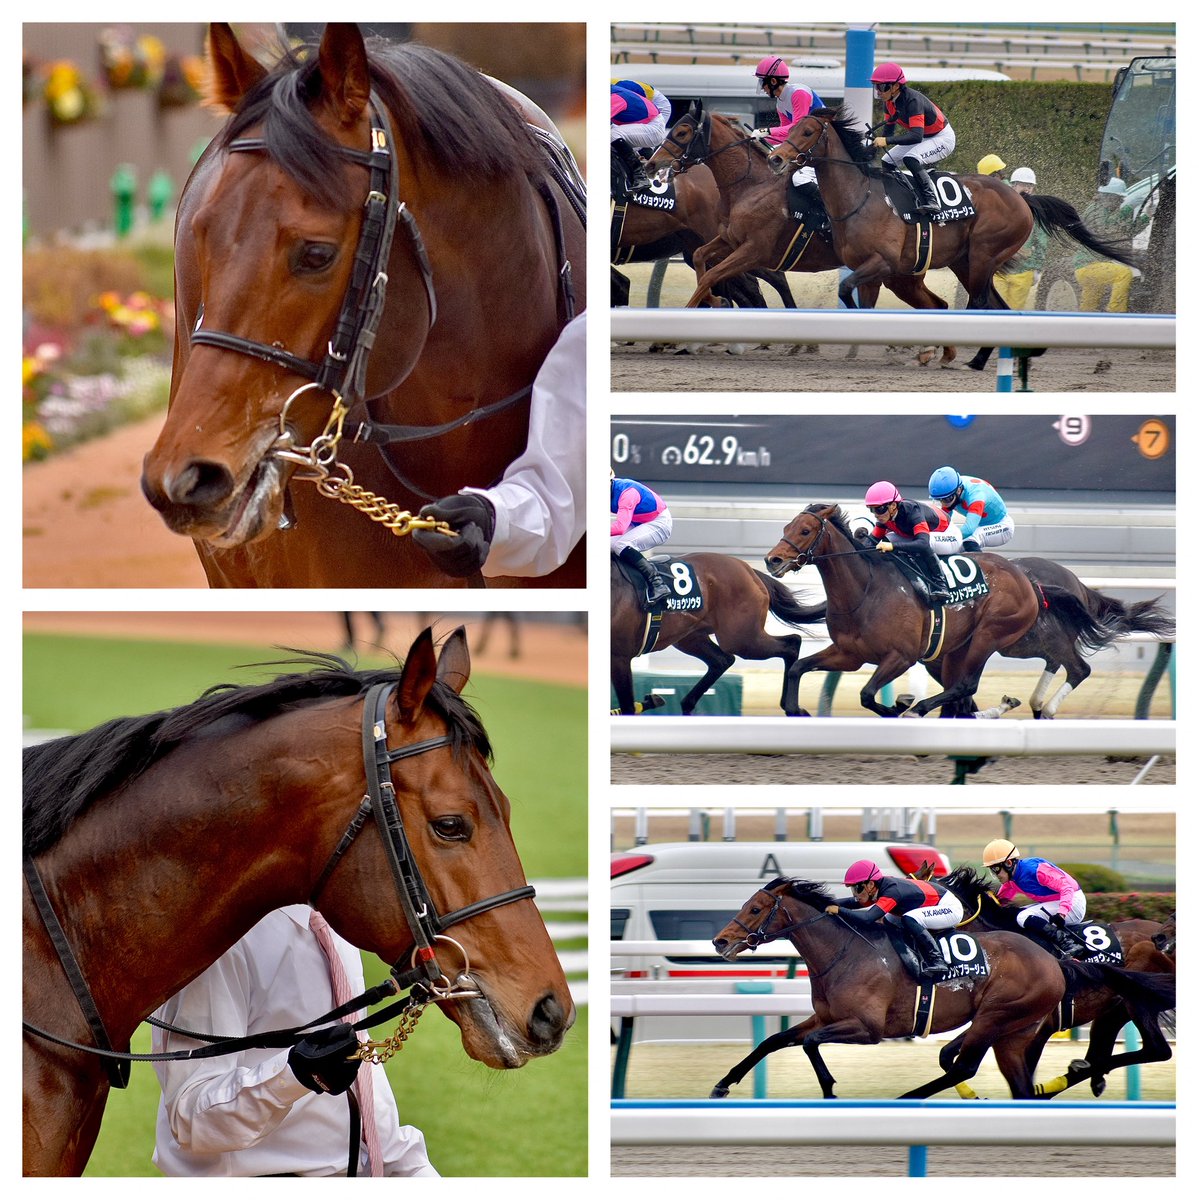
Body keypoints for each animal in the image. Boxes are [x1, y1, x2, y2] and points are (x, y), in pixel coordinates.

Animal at [611, 553, 826, 716]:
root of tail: (749, 570)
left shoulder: (619, 657)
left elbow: (628, 706)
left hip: (742, 639)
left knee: (791, 644)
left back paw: (792, 708)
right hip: (691, 637)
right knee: (722, 660)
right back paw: (686, 705)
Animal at [647, 108, 956, 365]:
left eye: (682, 132)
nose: (651, 164)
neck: (751, 187)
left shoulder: (753, 250)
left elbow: (711, 276)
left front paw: (675, 330)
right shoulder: (729, 240)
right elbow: (702, 261)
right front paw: (714, 303)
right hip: (900, 276)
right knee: (934, 304)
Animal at [764, 504, 1043, 717]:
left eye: (805, 530)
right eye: (786, 528)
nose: (772, 560)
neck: (865, 591)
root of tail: (1024, 577)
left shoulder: (901, 656)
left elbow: (867, 694)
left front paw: (897, 706)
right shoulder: (848, 654)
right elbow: (798, 667)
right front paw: (797, 710)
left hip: (989, 634)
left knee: (966, 684)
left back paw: (918, 709)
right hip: (958, 648)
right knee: (959, 692)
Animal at [767, 107, 1137, 368]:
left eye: (808, 131)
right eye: (791, 126)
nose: (775, 158)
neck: (860, 196)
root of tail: (1021, 198)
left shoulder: (881, 264)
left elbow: (846, 289)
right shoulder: (869, 270)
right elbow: (859, 299)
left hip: (984, 255)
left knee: (979, 303)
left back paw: (962, 353)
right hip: (965, 262)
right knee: (994, 305)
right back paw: (976, 357)